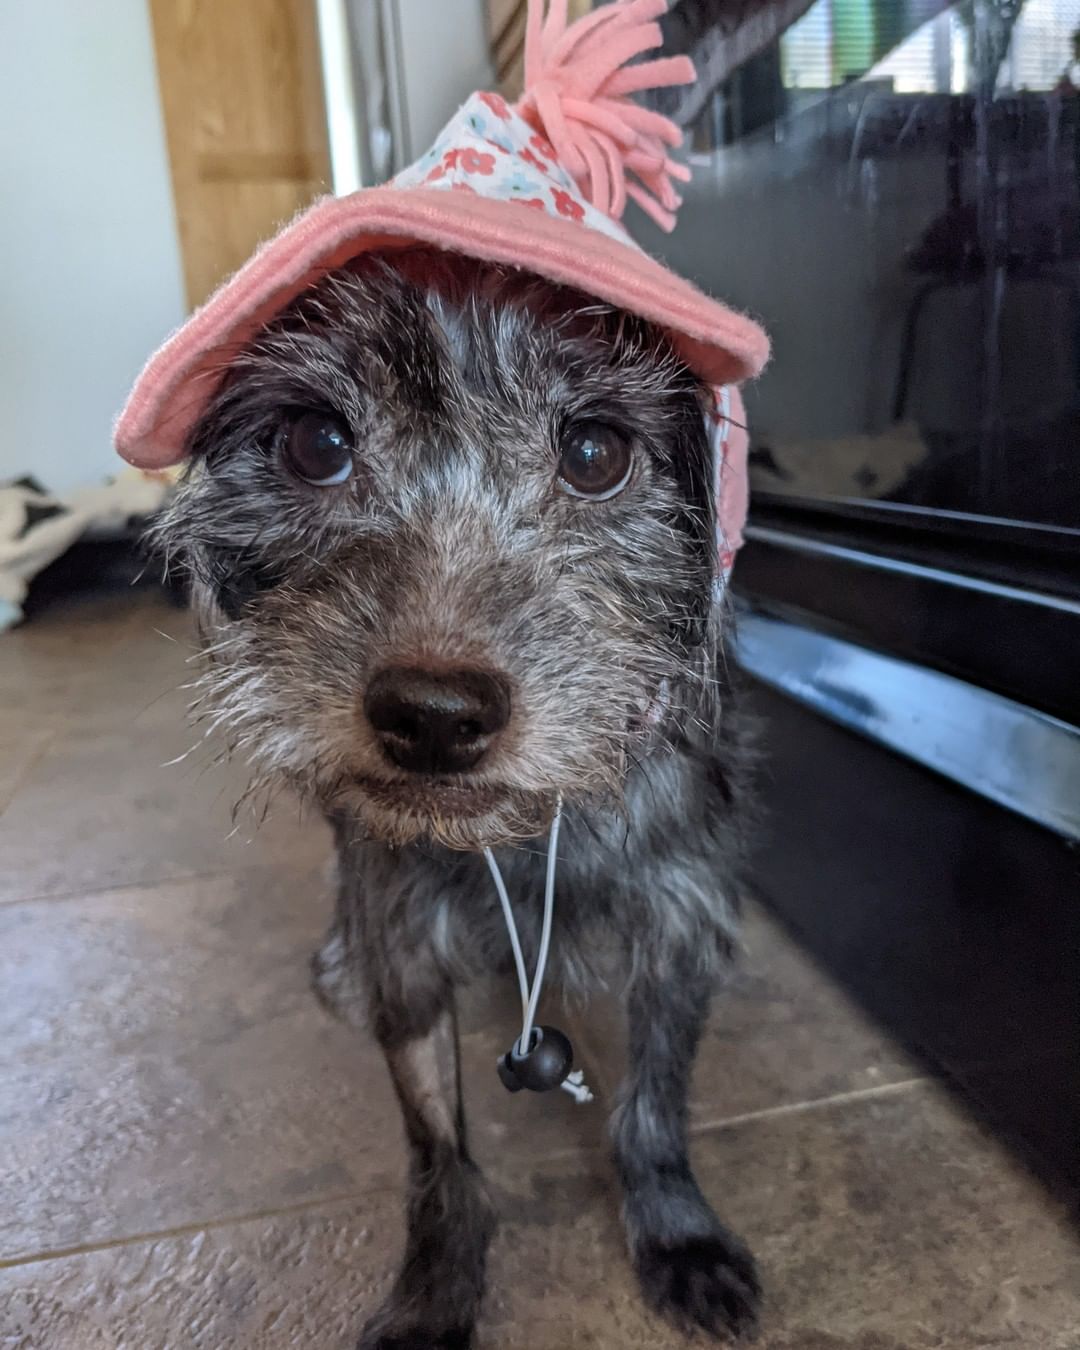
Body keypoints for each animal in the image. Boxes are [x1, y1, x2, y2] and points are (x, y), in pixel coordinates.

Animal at [153, 245, 761, 1350]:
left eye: (596, 452)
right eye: (316, 441)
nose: (433, 716)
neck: (524, 831)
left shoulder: (683, 920)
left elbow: (654, 1105)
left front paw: (678, 1234)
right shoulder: (401, 941)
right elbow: (436, 1146)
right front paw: (434, 1293)